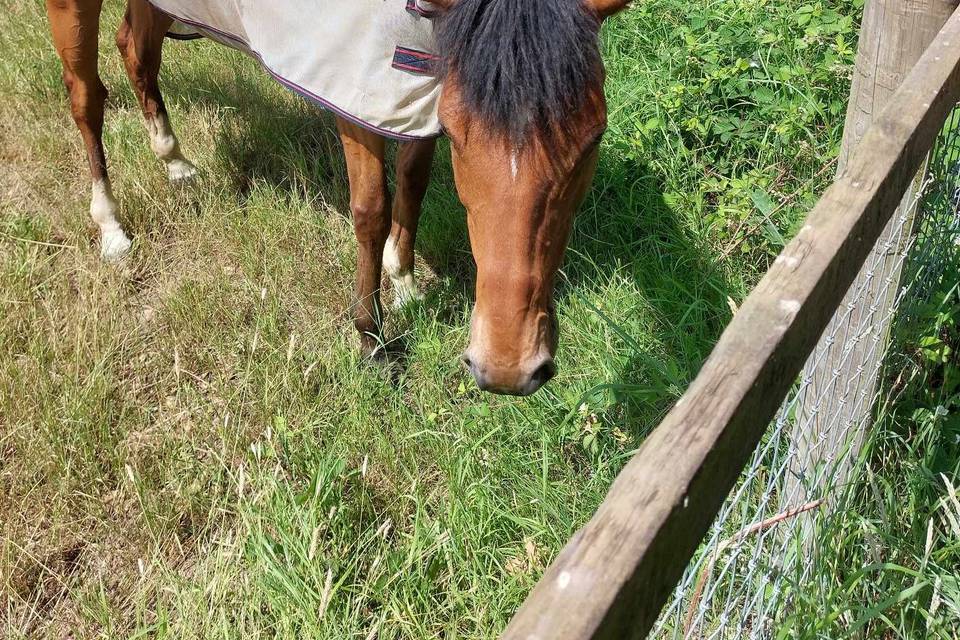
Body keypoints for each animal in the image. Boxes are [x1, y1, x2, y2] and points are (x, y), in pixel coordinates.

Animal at [43, 0, 632, 396]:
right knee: (85, 96)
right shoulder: (359, 96)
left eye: (593, 138)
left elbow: (413, 187)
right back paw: (111, 228)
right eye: (460, 136)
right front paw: (371, 338)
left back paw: (175, 161)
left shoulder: (417, 87)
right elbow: (372, 210)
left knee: (135, 50)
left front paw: (405, 282)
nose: (509, 368)